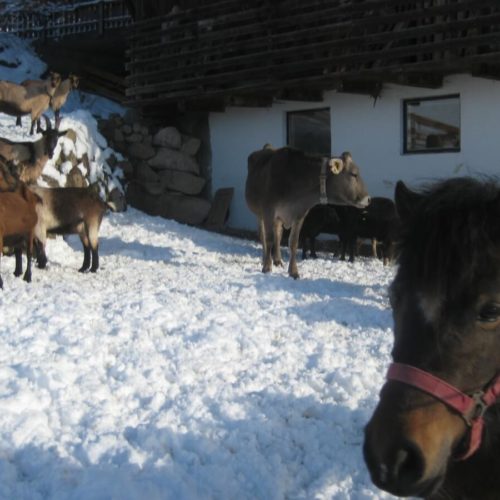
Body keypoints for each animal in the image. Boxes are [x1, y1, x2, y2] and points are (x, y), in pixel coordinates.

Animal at [247, 146, 372, 280]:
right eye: (354, 174)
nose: (368, 199)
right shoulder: (268, 211)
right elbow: (269, 239)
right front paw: (266, 267)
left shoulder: (299, 214)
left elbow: (293, 242)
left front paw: (293, 272)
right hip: (260, 214)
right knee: (263, 236)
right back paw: (265, 259)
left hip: (278, 219)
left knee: (278, 236)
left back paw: (278, 260)